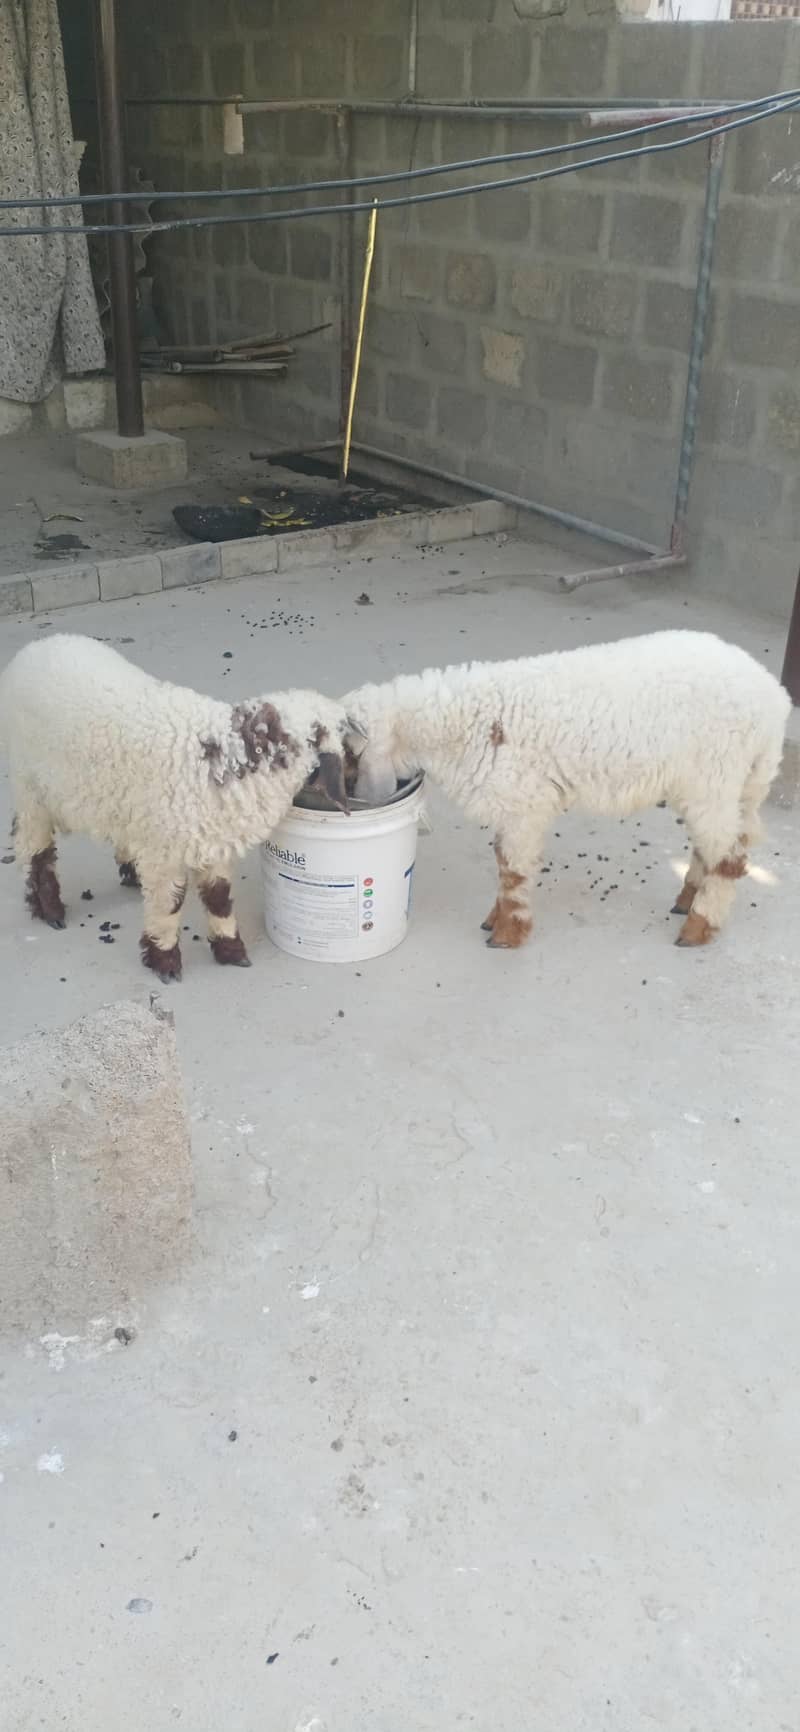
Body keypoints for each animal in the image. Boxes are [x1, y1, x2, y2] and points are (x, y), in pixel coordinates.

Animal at [0, 633, 354, 981]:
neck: (226, 762)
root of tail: (37, 646)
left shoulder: (212, 842)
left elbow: (218, 897)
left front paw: (231, 951)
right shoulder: (166, 851)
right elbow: (169, 904)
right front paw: (165, 960)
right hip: (28, 783)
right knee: (34, 846)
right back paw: (49, 909)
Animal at [343, 630, 790, 950]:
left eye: (347, 753)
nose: (354, 802)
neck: (468, 723)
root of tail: (775, 698)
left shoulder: (525, 804)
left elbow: (513, 870)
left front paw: (507, 934)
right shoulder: (510, 804)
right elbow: (503, 863)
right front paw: (494, 919)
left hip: (716, 772)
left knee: (729, 856)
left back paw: (699, 926)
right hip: (726, 782)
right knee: (715, 843)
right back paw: (687, 900)